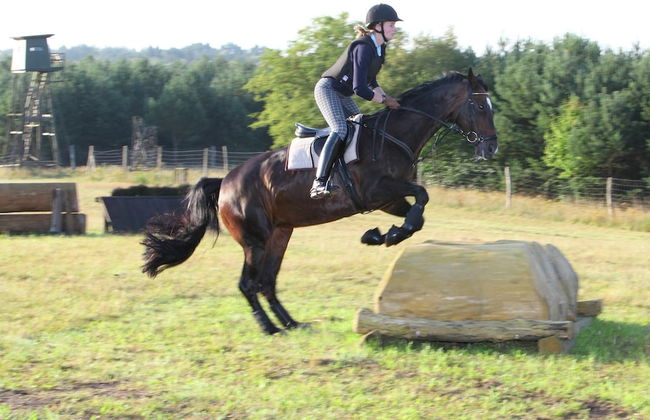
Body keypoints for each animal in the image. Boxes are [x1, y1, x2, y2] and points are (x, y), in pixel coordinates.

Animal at [141, 69, 498, 335]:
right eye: (481, 107)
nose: (491, 147)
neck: (394, 136)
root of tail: (226, 182)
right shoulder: (377, 191)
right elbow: (422, 196)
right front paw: (383, 235)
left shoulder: (389, 199)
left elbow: (417, 212)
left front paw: (383, 235)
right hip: (254, 239)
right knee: (248, 283)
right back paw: (269, 328)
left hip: (280, 234)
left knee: (267, 281)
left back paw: (291, 323)